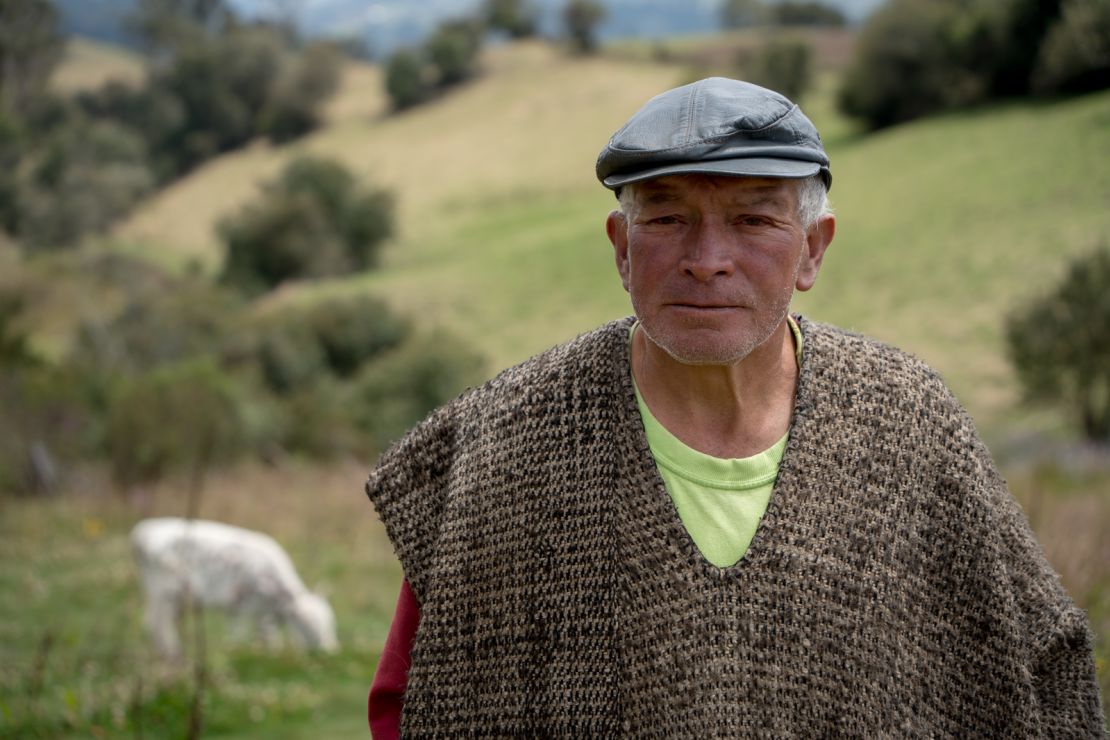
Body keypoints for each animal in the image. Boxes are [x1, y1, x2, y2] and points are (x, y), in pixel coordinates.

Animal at [130, 519, 337, 656]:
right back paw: (173, 652)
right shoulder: (242, 603)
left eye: (330, 622)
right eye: (305, 625)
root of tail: (143, 532)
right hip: (166, 592)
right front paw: (236, 649)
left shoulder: (259, 611)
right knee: (161, 623)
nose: (328, 650)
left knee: (152, 622)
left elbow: (268, 636)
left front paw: (270, 653)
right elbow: (238, 633)